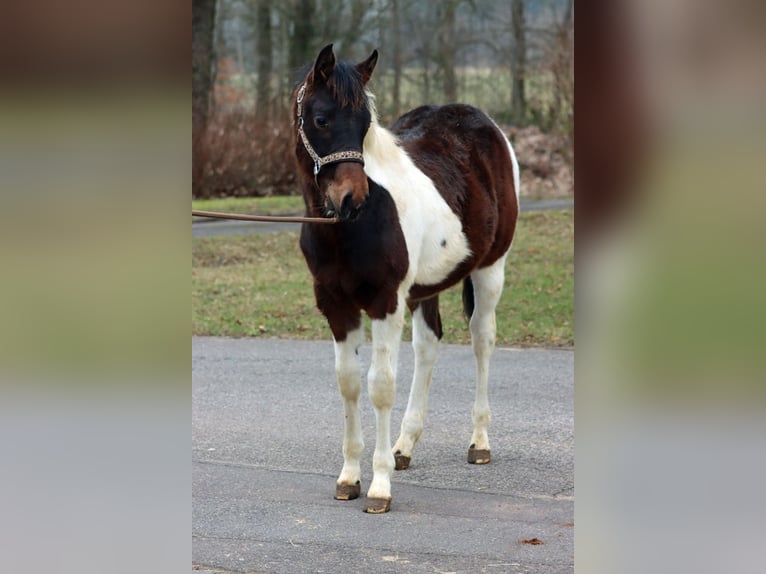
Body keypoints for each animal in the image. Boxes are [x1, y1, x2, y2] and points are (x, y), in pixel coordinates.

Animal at [293, 44, 519, 513]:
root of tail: (487, 125)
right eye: (321, 119)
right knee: (428, 344)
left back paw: (479, 442)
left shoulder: (385, 301)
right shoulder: (335, 306)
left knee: (482, 340)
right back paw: (404, 446)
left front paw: (379, 487)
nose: (352, 199)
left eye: (365, 124)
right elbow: (348, 384)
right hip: (424, 289)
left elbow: (380, 386)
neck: (345, 229)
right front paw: (349, 477)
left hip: (491, 269)